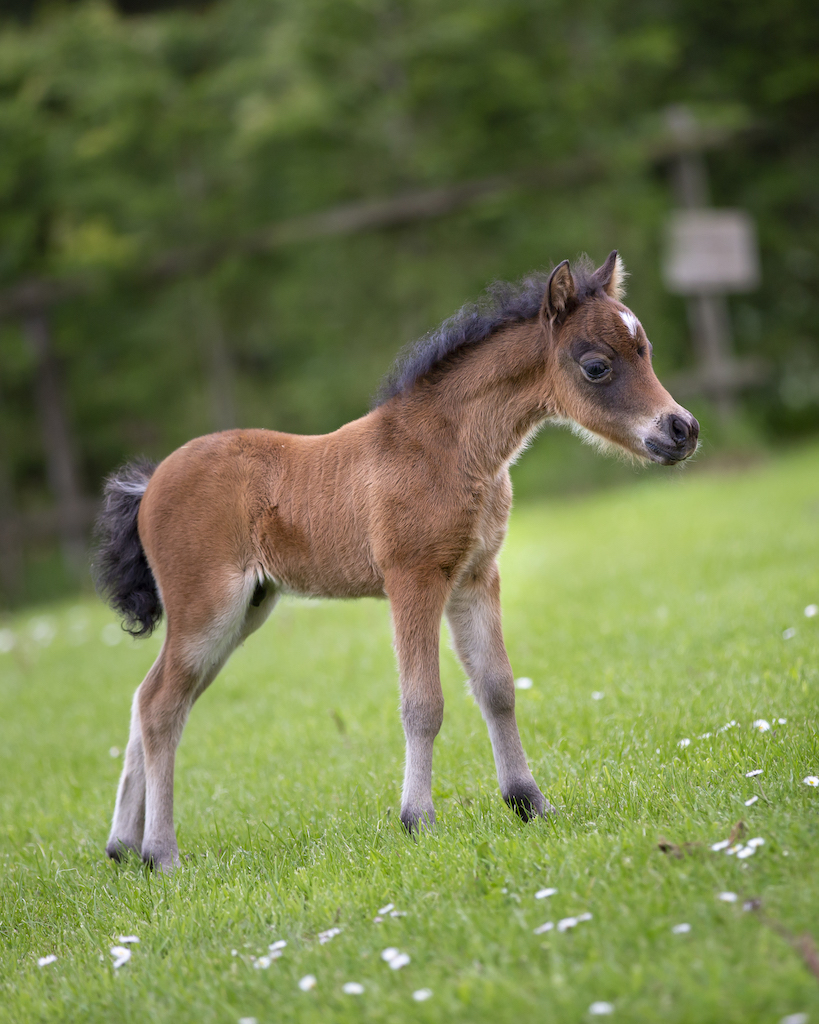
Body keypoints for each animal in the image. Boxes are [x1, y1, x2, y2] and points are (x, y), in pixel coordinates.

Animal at [94, 251, 699, 871]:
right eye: (597, 366)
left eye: (646, 350)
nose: (682, 429)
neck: (451, 450)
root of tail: (148, 485)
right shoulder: (414, 578)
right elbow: (423, 703)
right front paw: (418, 820)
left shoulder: (476, 576)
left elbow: (497, 688)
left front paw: (529, 804)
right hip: (208, 606)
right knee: (162, 705)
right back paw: (162, 854)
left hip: (246, 609)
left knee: (150, 698)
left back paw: (123, 846)